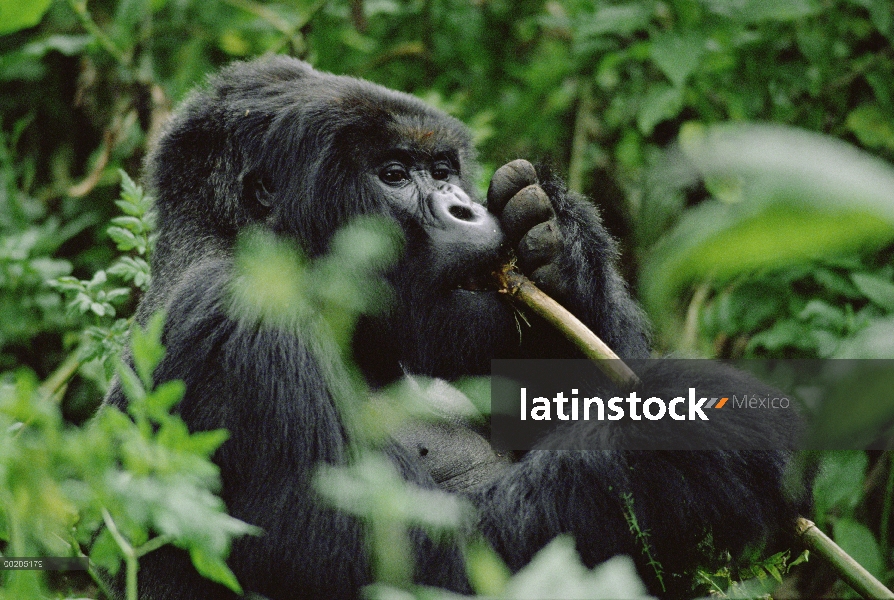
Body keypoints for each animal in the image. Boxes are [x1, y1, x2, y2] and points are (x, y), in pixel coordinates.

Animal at [107, 55, 812, 596]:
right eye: (394, 174)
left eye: (443, 171)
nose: (465, 208)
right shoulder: (239, 329)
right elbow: (412, 562)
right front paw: (679, 451)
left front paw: (559, 244)